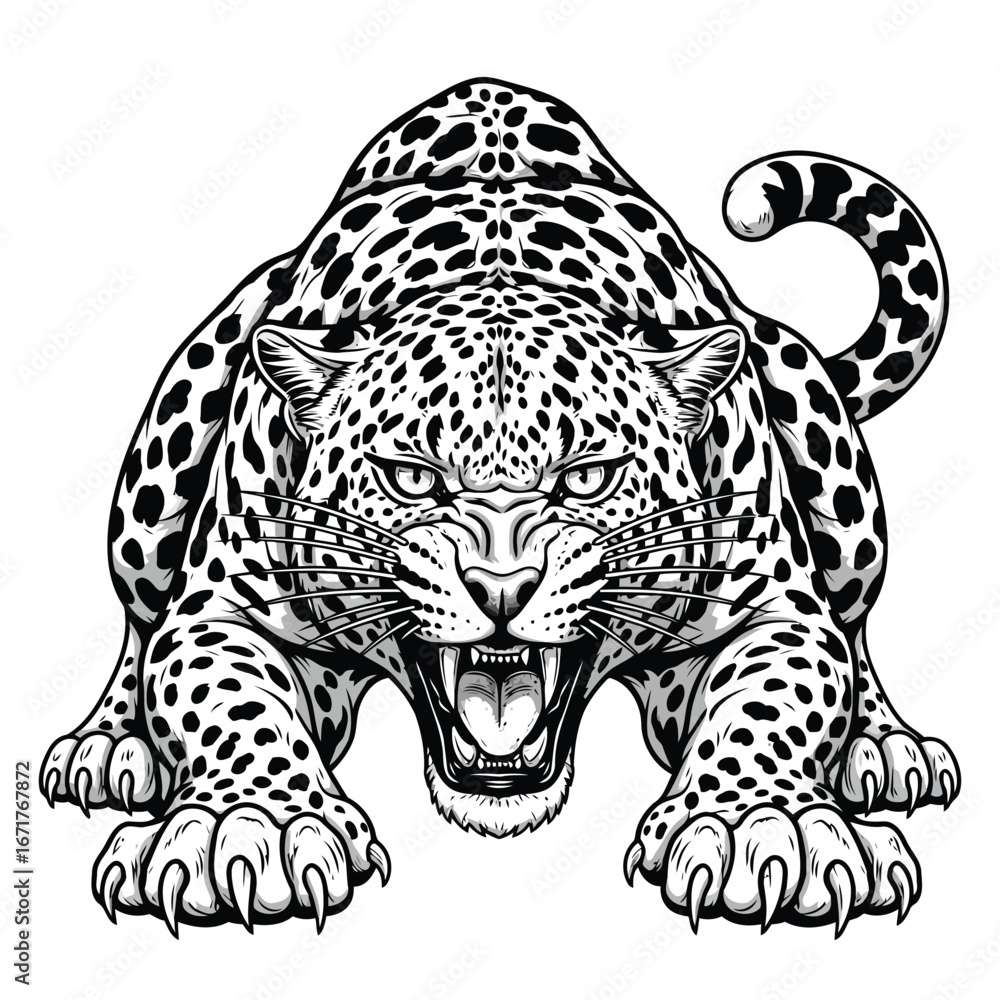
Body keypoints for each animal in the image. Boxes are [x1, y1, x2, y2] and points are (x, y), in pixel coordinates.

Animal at [42, 78, 958, 936]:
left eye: (587, 478)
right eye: (412, 479)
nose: (502, 587)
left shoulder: (774, 606)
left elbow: (774, 702)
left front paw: (763, 828)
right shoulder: (221, 606)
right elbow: (229, 703)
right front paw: (250, 828)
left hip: (832, 470)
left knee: (856, 622)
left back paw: (884, 746)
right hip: (155, 481)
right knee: (137, 618)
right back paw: (110, 744)